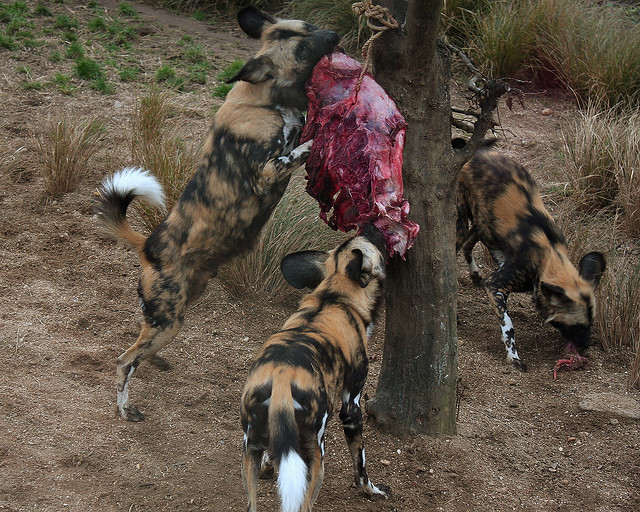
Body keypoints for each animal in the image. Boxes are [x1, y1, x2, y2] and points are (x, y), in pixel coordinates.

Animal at [94, 7, 340, 420]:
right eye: (303, 48)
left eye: (311, 27)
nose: (336, 35)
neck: (268, 99)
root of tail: (148, 245)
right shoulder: (268, 171)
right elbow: (302, 147)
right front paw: (328, 134)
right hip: (171, 320)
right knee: (124, 360)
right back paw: (126, 409)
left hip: (181, 306)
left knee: (140, 342)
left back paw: (154, 362)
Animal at [240, 228, 390, 512]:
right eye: (375, 243)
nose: (373, 226)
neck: (334, 297)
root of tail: (281, 378)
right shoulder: (352, 407)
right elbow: (361, 465)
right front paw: (371, 490)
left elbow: (271, 454)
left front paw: (269, 466)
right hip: (317, 458)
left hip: (249, 447)